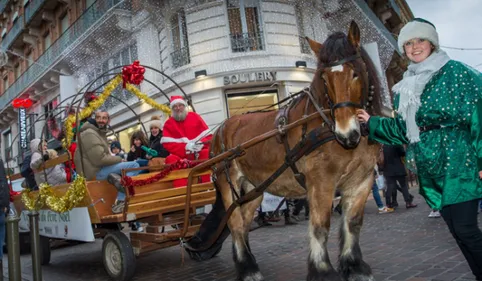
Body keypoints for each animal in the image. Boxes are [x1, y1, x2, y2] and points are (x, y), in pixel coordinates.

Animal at [186, 21, 382, 280]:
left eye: (355, 72)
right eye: (325, 79)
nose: (346, 133)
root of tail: (220, 130)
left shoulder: (362, 179)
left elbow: (353, 223)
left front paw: (355, 267)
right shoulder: (321, 181)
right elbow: (320, 227)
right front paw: (323, 271)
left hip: (253, 189)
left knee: (244, 222)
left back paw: (246, 262)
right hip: (227, 183)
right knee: (235, 224)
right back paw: (248, 270)